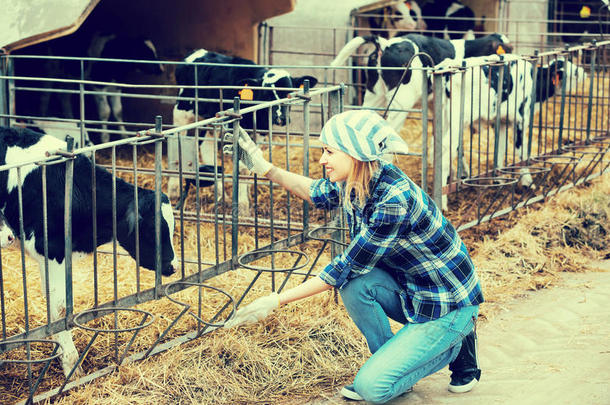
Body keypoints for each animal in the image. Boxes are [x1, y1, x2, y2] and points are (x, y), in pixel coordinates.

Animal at [169, 49, 316, 207]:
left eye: (288, 92)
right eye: (267, 95)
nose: (280, 118)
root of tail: (198, 52)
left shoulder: (260, 133)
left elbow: (249, 164)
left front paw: (247, 198)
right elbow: (241, 167)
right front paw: (243, 204)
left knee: (207, 149)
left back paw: (222, 195)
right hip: (181, 112)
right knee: (176, 146)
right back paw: (173, 190)